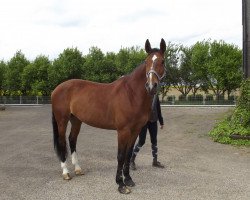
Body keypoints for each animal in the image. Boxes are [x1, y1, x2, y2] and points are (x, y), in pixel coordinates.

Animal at [51, 38, 166, 194]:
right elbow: (121, 156)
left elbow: (129, 153)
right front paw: (120, 184)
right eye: (146, 61)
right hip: (62, 120)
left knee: (72, 140)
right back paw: (66, 172)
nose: (151, 86)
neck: (131, 94)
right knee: (62, 142)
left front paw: (128, 179)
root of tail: (57, 89)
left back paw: (78, 169)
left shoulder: (135, 130)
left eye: (162, 61)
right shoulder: (123, 131)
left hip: (76, 120)